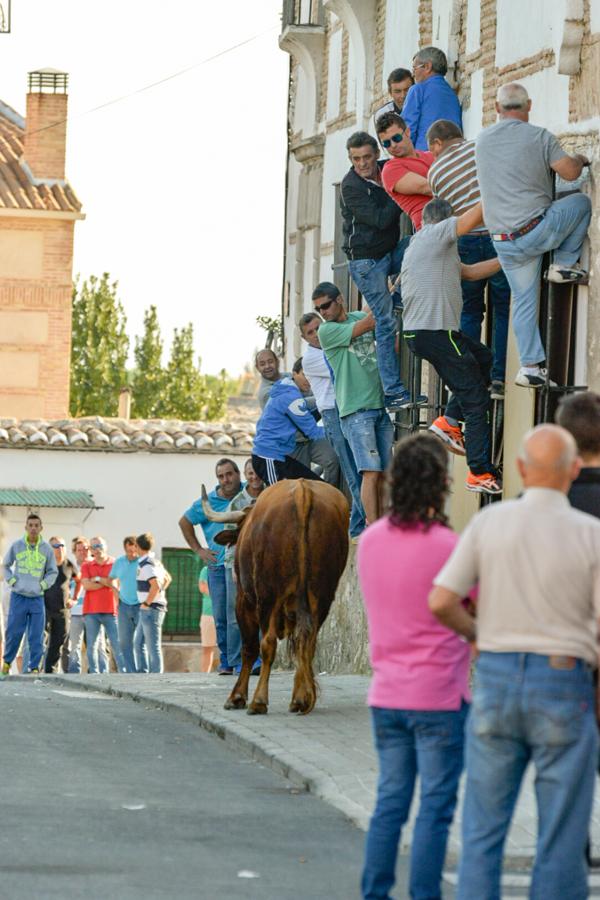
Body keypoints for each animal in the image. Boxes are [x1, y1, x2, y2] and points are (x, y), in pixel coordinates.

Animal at [203, 478, 350, 716]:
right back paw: (300, 699)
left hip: (268, 598)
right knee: (307, 642)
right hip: (321, 596)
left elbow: (249, 648)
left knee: (268, 643)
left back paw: (258, 701)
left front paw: (237, 697)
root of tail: (302, 491)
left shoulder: (243, 602)